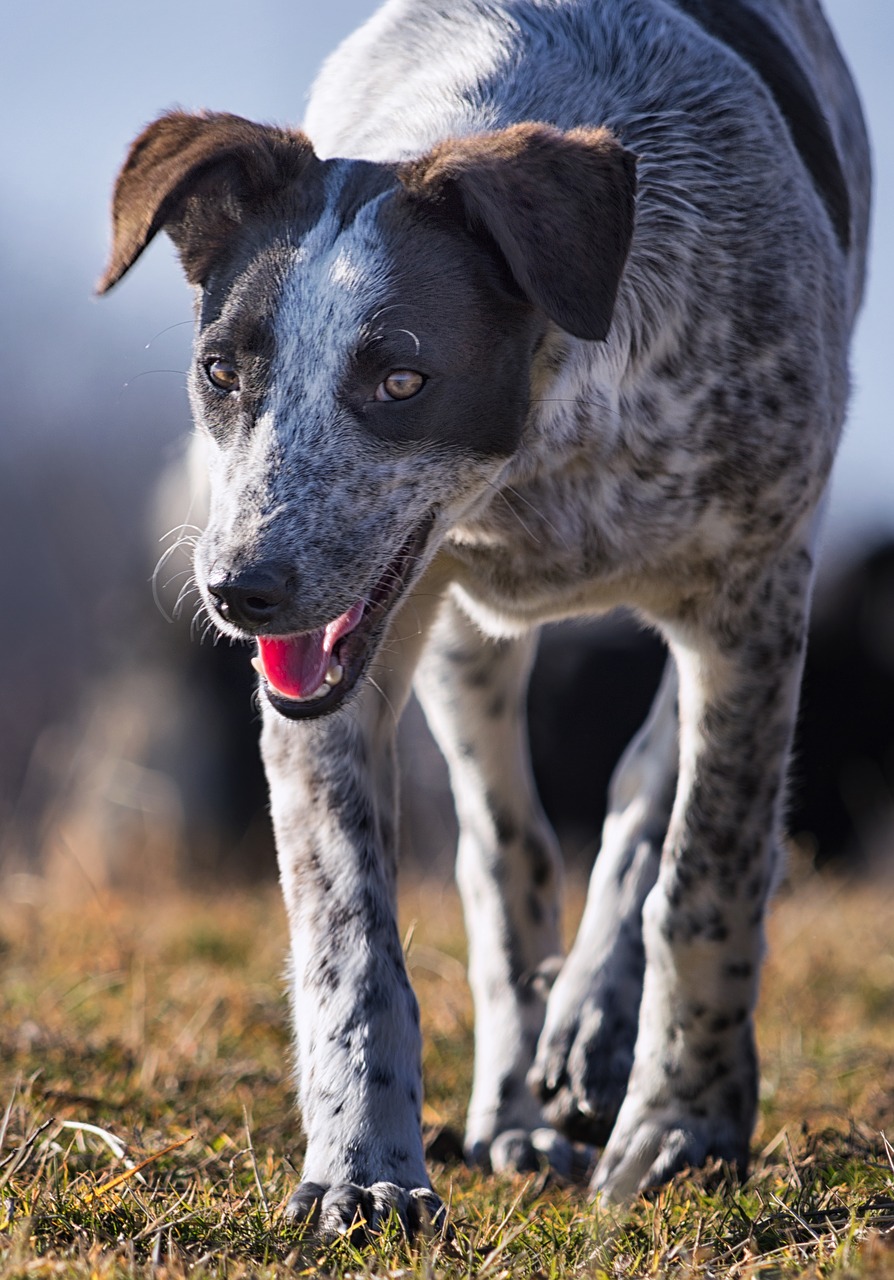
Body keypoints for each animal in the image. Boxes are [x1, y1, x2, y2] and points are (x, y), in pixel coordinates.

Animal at [99, 0, 870, 1233]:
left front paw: (685, 1126)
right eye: (221, 371)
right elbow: (350, 930)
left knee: (647, 790)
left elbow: (706, 869)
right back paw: (516, 1098)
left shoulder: (756, 588)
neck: (538, 462)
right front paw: (363, 1165)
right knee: (505, 852)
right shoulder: (346, 664)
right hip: (461, 650)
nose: (238, 591)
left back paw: (596, 1028)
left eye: (403, 381)